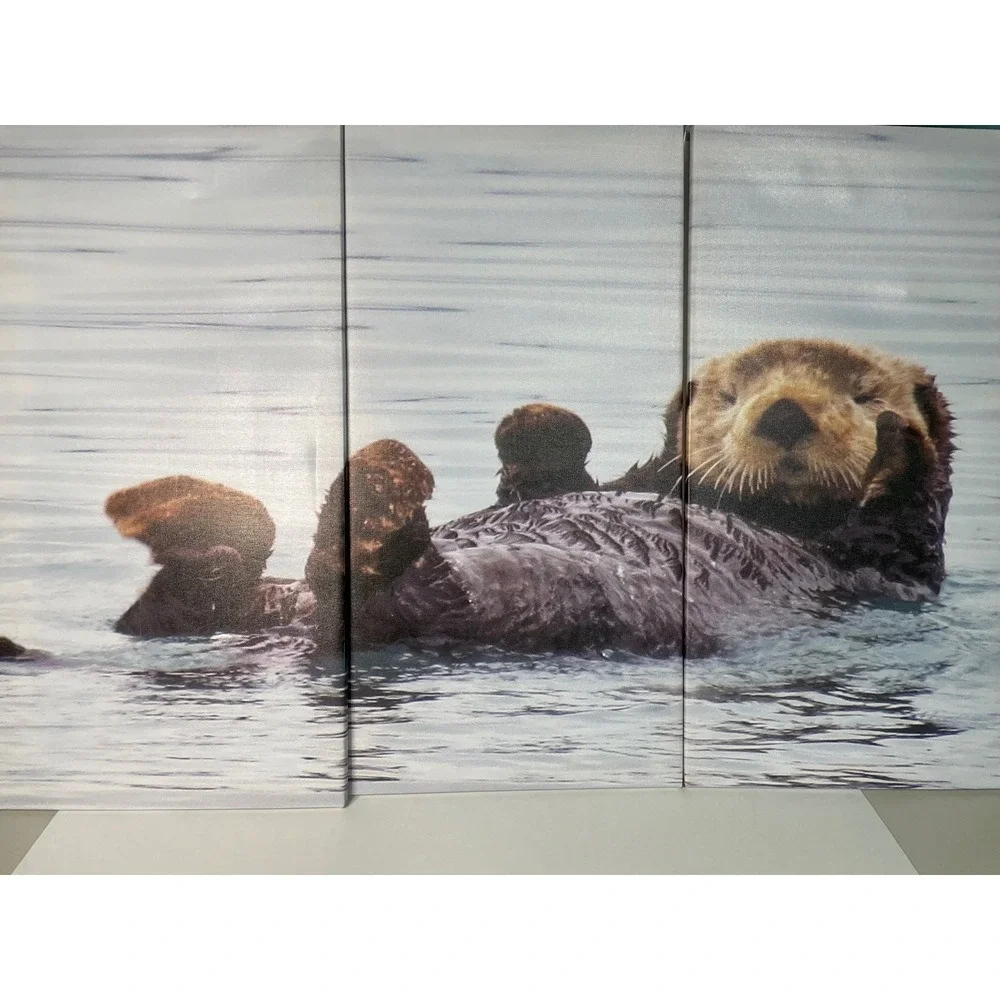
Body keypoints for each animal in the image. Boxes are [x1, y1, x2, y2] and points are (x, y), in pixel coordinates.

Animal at [102, 339, 953, 658]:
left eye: (863, 391)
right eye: (730, 393)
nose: (785, 413)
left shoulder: (893, 565)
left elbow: (903, 518)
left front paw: (900, 443)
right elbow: (549, 475)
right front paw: (539, 420)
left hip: (498, 604)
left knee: (374, 581)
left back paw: (379, 487)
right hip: (248, 601)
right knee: (190, 595)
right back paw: (171, 506)